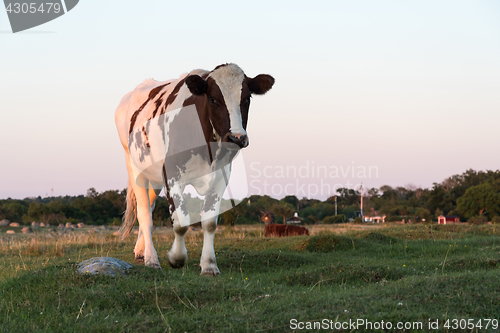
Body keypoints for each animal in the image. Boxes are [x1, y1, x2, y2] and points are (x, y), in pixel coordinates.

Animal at [114, 63, 274, 274]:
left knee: (148, 206)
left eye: (247, 98)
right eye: (213, 98)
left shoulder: (221, 176)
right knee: (144, 212)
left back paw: (141, 250)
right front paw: (177, 258)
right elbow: (180, 221)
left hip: (154, 176)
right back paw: (151, 258)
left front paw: (209, 265)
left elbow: (209, 222)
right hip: (135, 168)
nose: (237, 138)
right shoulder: (172, 175)